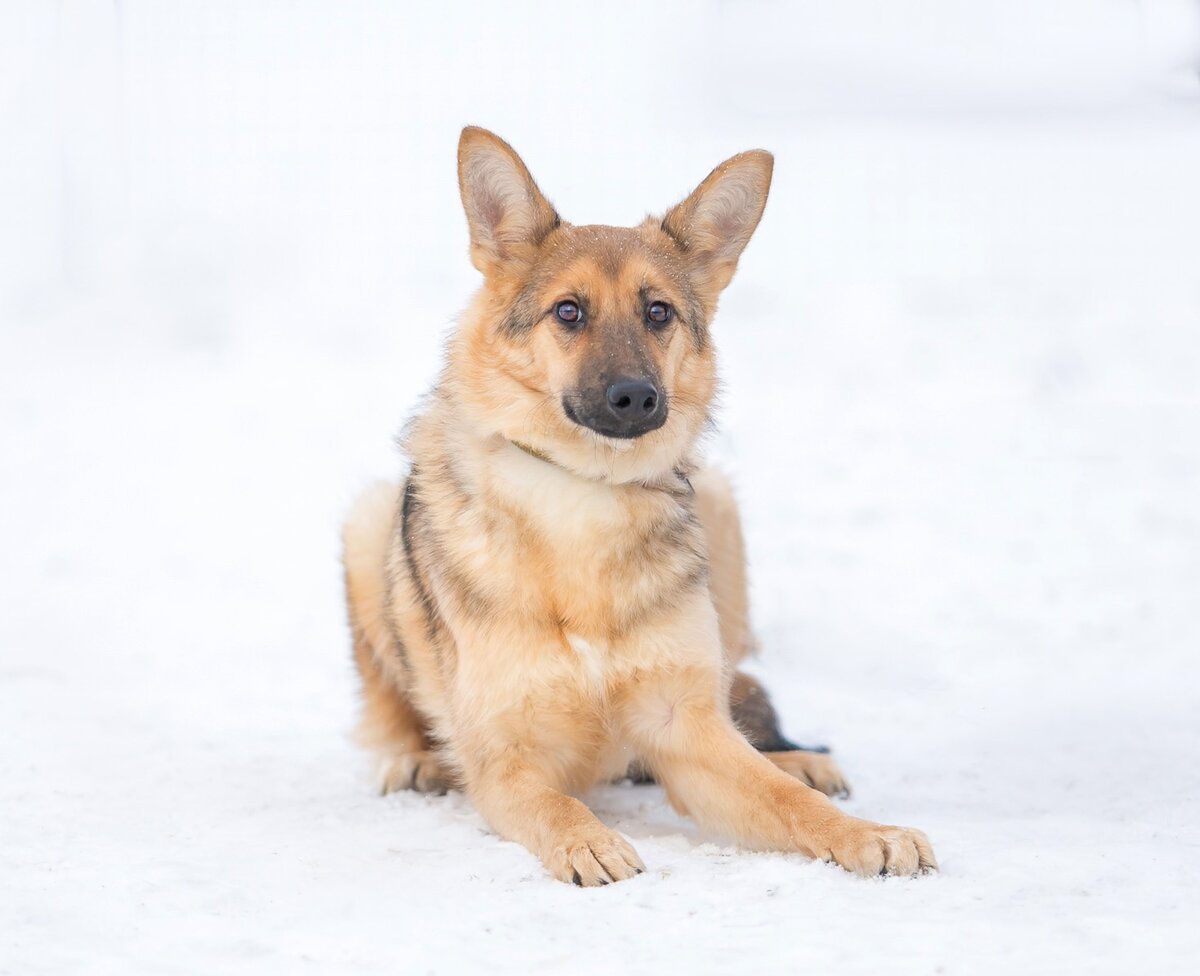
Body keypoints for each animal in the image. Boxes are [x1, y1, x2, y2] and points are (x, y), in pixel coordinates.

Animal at [340, 127, 936, 883]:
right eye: (568, 311)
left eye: (659, 313)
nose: (635, 398)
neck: (582, 496)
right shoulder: (507, 757)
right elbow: (557, 805)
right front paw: (586, 841)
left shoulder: (683, 729)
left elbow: (781, 798)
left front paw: (866, 832)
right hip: (366, 523)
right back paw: (418, 760)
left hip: (721, 512)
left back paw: (801, 760)